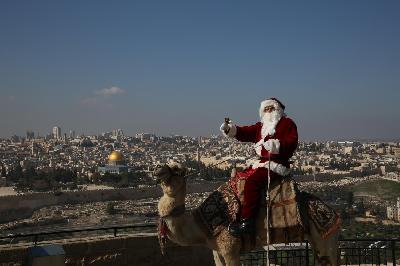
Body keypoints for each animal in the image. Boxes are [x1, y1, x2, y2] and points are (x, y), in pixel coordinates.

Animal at [155, 162, 340, 266]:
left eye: (176, 168)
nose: (157, 168)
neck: (203, 225)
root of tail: (330, 211)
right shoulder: (217, 251)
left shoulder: (230, 248)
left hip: (324, 237)